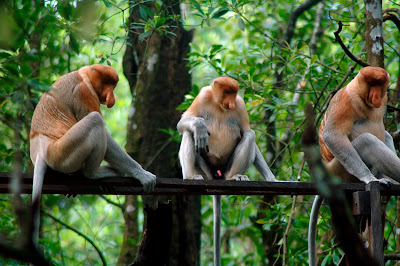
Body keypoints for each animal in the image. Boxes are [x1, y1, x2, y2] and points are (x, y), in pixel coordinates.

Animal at [29, 64, 156, 243]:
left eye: (113, 85)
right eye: (107, 83)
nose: (111, 97)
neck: (84, 77)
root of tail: (41, 149)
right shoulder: (83, 93)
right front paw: (142, 173)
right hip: (62, 152)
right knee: (95, 120)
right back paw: (95, 173)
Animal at [177, 76, 276, 264]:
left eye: (234, 93)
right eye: (227, 92)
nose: (231, 103)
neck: (219, 104)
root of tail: (217, 175)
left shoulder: (240, 104)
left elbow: (246, 131)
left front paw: (273, 179)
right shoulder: (203, 96)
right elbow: (183, 122)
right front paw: (200, 126)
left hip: (225, 168)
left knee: (250, 134)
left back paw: (235, 176)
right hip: (206, 171)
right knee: (188, 133)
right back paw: (191, 176)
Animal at [310, 67, 400, 266]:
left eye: (379, 85)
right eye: (371, 84)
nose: (376, 96)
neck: (359, 93)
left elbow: (386, 134)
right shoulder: (345, 100)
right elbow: (333, 135)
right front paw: (369, 179)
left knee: (385, 136)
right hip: (340, 170)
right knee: (367, 141)